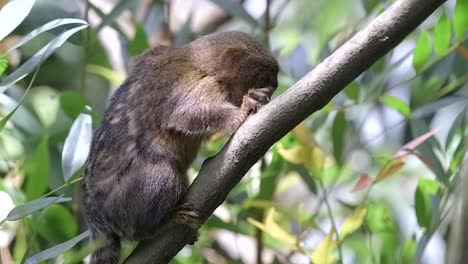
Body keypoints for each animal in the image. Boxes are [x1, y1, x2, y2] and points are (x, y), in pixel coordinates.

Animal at [80, 30, 278, 262]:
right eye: (267, 79)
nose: (274, 89)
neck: (200, 63)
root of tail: (95, 217)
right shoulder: (201, 84)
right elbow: (185, 114)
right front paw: (243, 110)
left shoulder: (152, 55)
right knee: (162, 174)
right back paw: (164, 223)